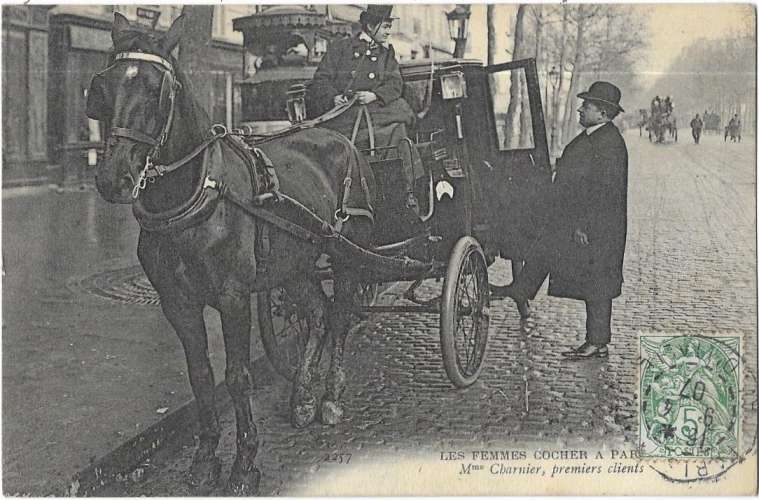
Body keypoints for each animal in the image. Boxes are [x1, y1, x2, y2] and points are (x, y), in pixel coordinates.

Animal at [87, 13, 376, 494]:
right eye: (103, 87)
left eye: (156, 89)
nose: (113, 178)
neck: (196, 194)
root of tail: (339, 138)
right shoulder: (177, 302)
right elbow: (201, 376)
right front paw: (205, 457)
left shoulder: (233, 297)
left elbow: (238, 378)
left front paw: (244, 463)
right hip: (294, 264)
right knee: (317, 314)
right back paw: (302, 397)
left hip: (347, 255)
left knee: (339, 316)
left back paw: (331, 396)